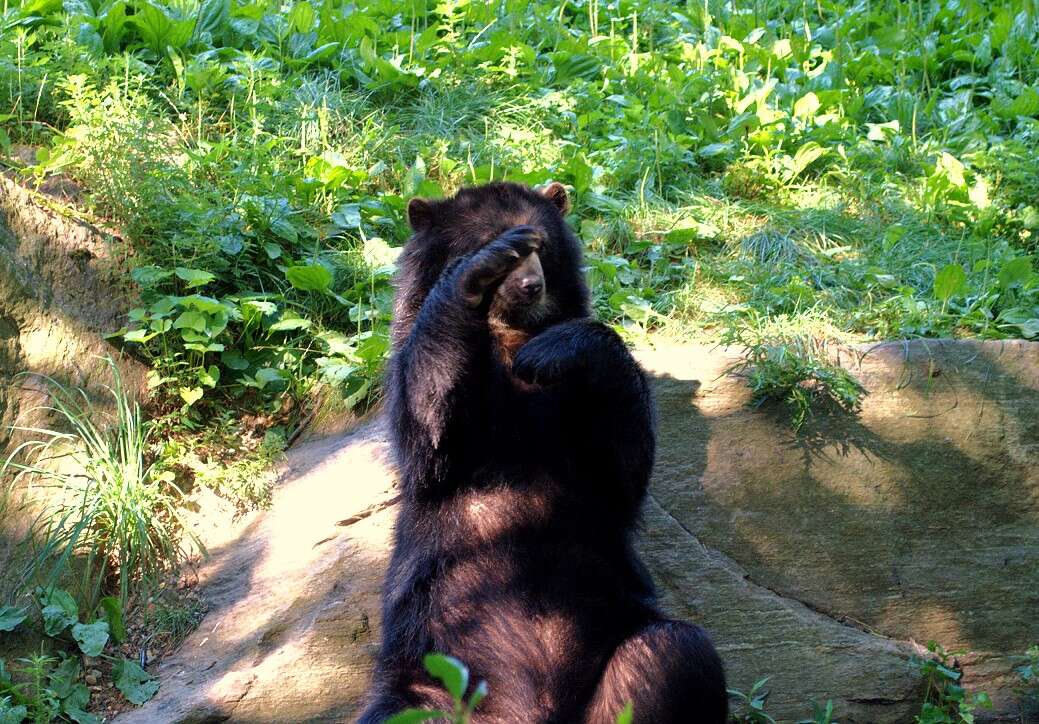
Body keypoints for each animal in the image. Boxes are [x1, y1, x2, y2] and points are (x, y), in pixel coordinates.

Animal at [355, 180, 723, 722]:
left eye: (543, 247)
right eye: (502, 246)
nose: (531, 285)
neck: (508, 332)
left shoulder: (577, 410)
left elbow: (622, 468)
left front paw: (551, 350)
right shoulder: (412, 383)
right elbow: (431, 430)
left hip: (617, 641)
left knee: (672, 653)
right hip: (429, 673)